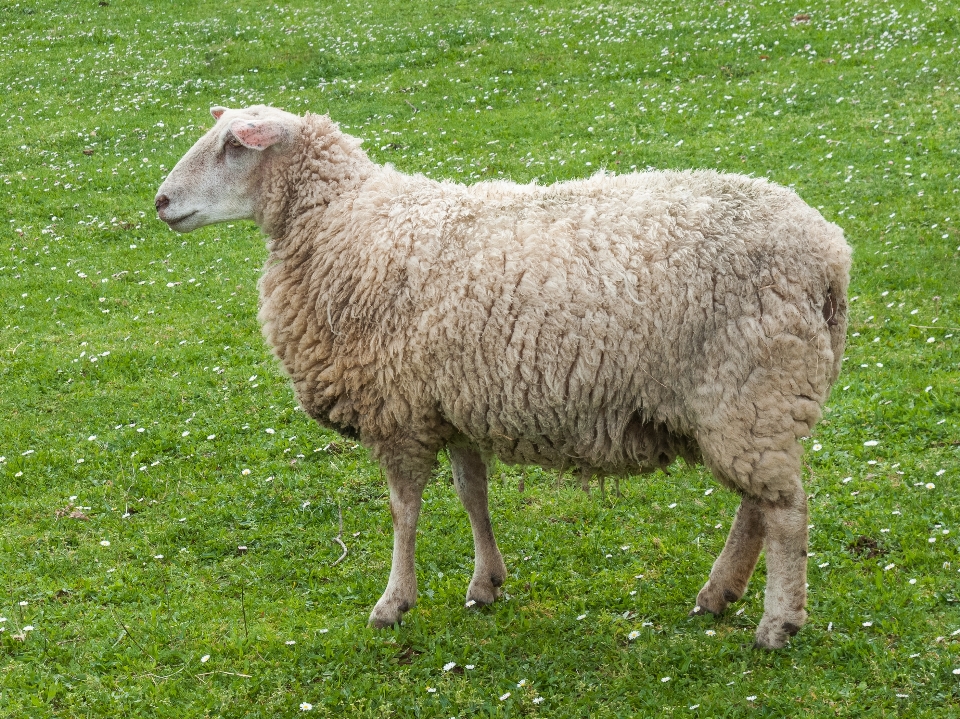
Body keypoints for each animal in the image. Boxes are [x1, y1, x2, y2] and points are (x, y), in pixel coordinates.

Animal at [158, 107, 856, 652]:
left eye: (232, 147)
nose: (162, 202)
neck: (347, 224)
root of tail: (830, 253)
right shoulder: (452, 403)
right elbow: (473, 495)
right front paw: (485, 584)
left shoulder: (398, 412)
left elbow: (403, 511)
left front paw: (393, 603)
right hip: (750, 403)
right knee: (758, 506)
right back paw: (719, 593)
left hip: (753, 388)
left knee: (786, 512)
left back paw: (777, 623)